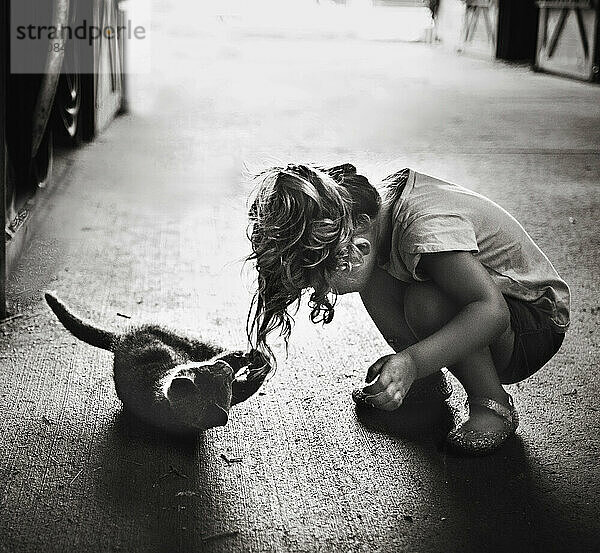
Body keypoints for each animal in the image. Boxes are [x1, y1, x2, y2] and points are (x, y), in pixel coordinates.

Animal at [45, 292, 270, 434]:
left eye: (225, 381)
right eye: (203, 369)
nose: (227, 368)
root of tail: (120, 339)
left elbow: (244, 387)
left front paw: (257, 365)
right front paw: (250, 360)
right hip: (182, 337)